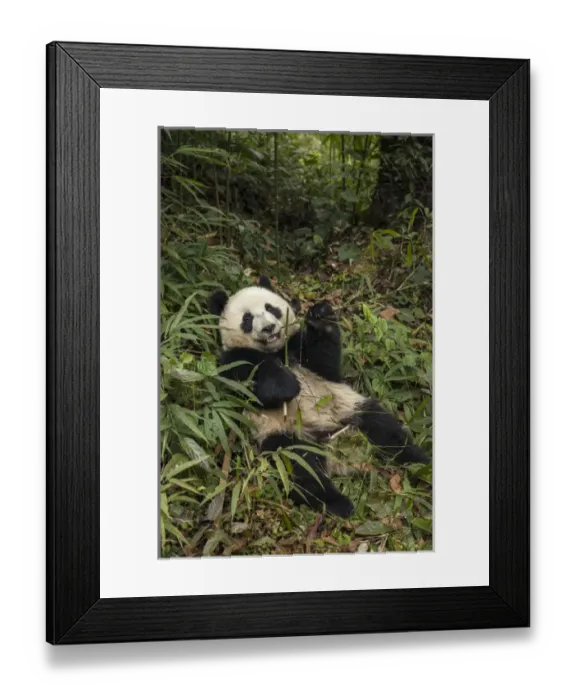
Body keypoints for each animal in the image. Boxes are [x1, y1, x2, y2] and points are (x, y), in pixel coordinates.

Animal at [208, 275, 430, 518]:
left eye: (271, 308)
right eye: (247, 319)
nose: (269, 328)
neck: (276, 351)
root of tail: (339, 452)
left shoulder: (300, 348)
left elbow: (325, 362)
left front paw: (321, 316)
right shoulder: (232, 363)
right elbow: (253, 386)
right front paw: (287, 385)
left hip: (349, 409)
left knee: (385, 431)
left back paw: (423, 465)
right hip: (283, 433)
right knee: (300, 468)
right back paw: (338, 503)